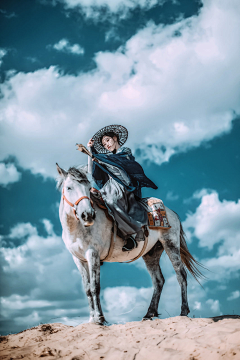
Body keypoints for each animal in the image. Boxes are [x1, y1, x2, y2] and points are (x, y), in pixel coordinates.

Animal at [56, 165, 202, 324]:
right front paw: (91, 319)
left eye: (89, 188)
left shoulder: (92, 254)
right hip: (151, 253)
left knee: (181, 274)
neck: (78, 228)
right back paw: (148, 314)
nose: (88, 215)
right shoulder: (78, 259)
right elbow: (87, 288)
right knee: (158, 280)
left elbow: (95, 286)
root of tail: (172, 213)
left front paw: (100, 318)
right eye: (69, 188)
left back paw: (183, 311)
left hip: (171, 244)